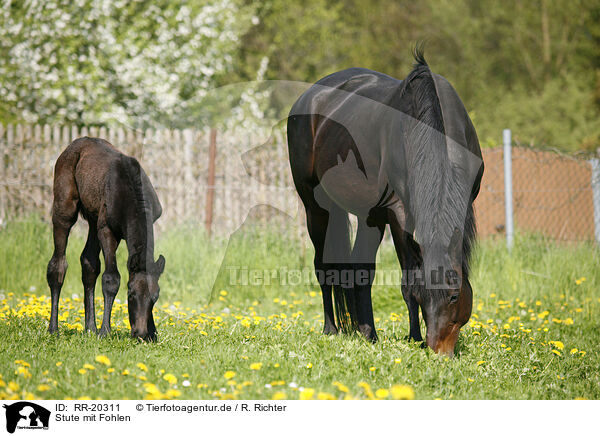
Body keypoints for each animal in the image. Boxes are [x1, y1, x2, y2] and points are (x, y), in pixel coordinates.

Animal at [47, 136, 165, 340]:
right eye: (131, 294)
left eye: (155, 297)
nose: (140, 334)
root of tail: (75, 143)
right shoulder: (107, 230)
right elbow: (112, 278)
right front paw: (105, 331)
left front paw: (153, 332)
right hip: (65, 208)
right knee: (58, 264)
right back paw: (54, 329)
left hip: (94, 218)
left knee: (89, 263)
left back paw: (90, 328)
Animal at [288, 48, 482, 354]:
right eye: (424, 294)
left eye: (453, 296)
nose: (438, 350)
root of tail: (309, 97)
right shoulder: (399, 213)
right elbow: (406, 281)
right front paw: (414, 337)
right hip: (316, 208)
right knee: (325, 266)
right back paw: (333, 329)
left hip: (368, 216)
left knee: (359, 269)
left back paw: (365, 331)